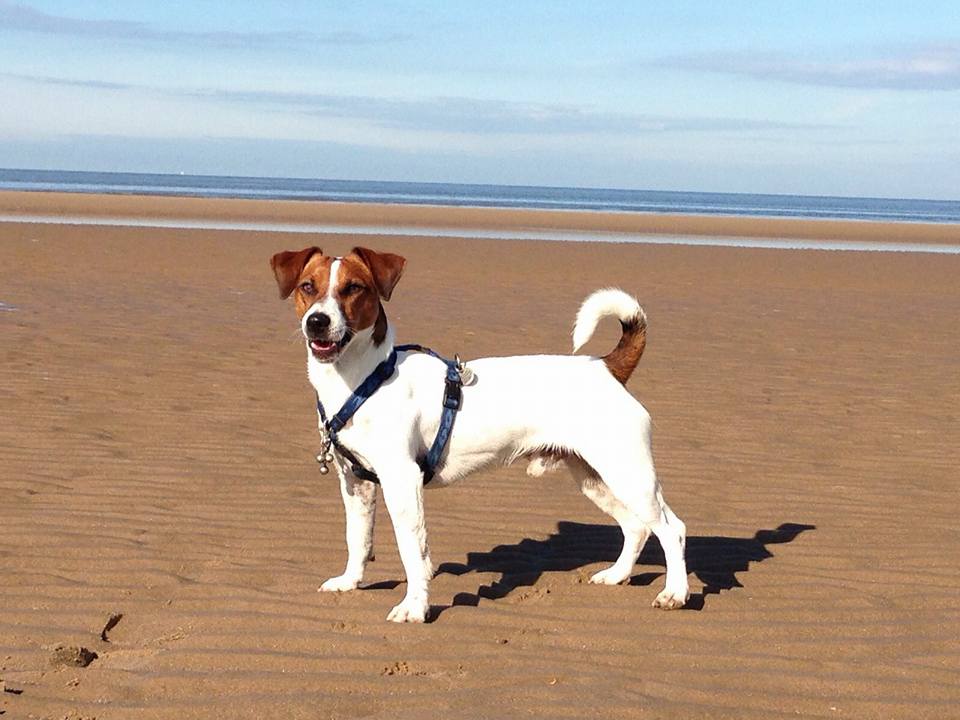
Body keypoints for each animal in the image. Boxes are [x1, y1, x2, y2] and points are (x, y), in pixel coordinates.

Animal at [271, 246, 689, 623]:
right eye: (308, 287)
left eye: (353, 288)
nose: (317, 321)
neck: (367, 380)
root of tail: (605, 368)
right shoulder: (356, 482)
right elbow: (358, 539)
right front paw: (350, 582)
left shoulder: (402, 482)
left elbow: (412, 553)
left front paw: (415, 607)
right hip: (593, 476)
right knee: (636, 526)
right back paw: (617, 575)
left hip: (629, 474)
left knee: (672, 530)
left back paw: (675, 593)